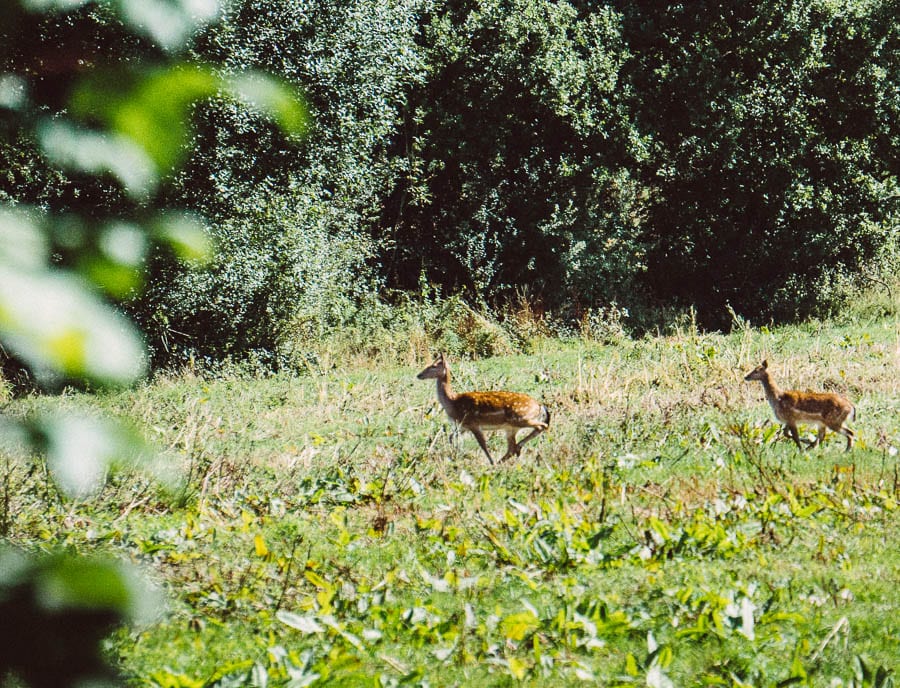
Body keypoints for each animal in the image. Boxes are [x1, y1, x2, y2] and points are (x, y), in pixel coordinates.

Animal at [418, 354, 552, 462]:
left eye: (433, 366)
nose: (419, 375)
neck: (453, 403)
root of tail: (540, 406)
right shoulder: (463, 426)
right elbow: (451, 437)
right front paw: (456, 454)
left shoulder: (473, 423)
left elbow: (483, 445)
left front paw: (489, 461)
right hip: (511, 427)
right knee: (511, 447)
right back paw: (510, 454)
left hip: (521, 418)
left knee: (542, 426)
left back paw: (506, 457)